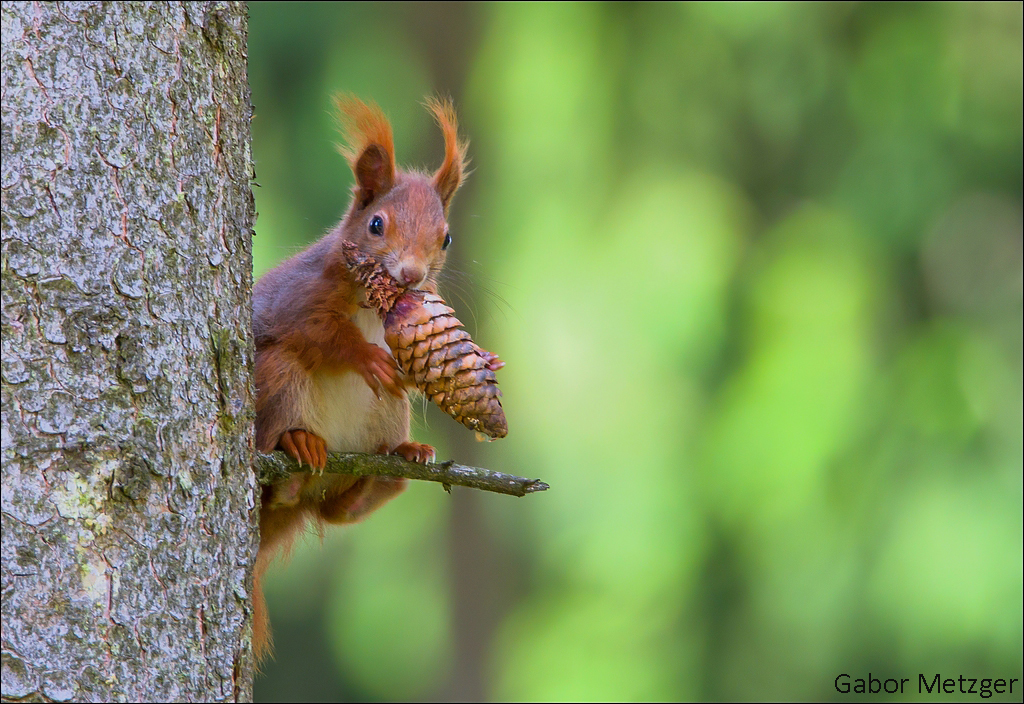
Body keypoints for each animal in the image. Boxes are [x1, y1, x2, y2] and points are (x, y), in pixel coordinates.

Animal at [251, 96, 468, 663]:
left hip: (383, 419)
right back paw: (297, 448)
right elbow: (317, 333)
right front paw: (366, 357)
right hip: (277, 382)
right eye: (375, 224)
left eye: (446, 237)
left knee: (335, 513)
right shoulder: (299, 299)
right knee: (283, 478)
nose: (412, 275)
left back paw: (395, 466)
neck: (377, 306)